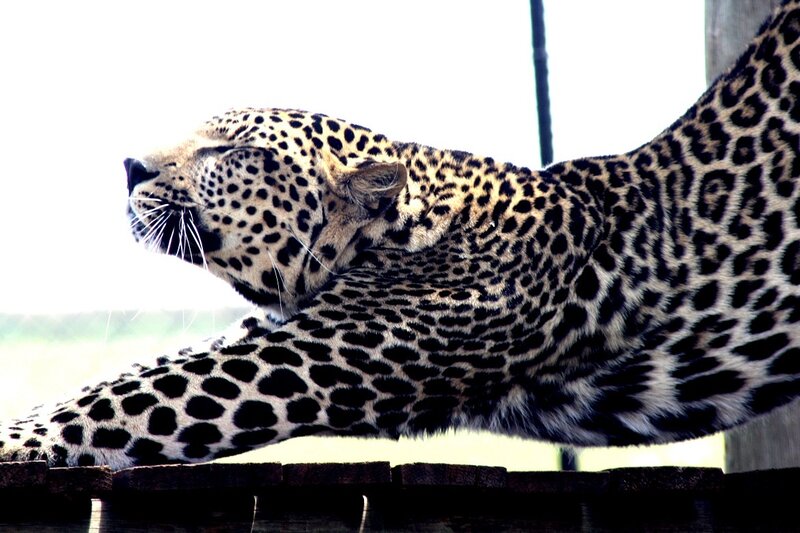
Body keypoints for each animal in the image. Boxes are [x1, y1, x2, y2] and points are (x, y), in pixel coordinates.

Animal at [1, 1, 799, 470]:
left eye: (231, 151)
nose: (130, 167)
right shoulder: (279, 328)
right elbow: (118, 377)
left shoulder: (301, 356)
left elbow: (121, 399)